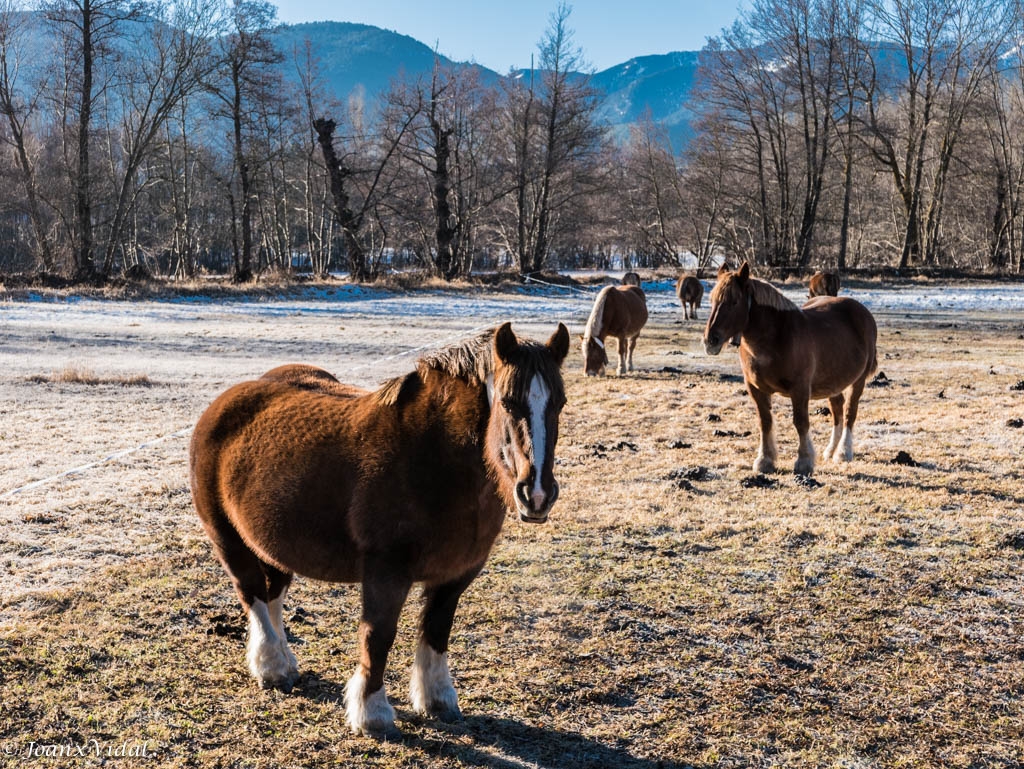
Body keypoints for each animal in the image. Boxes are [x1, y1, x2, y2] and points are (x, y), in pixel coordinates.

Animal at [189, 323, 573, 741]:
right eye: (507, 401)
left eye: (560, 403)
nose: (536, 495)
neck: (436, 459)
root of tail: (224, 403)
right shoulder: (386, 571)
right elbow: (379, 636)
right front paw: (372, 713)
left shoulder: (458, 572)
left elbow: (437, 629)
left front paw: (438, 700)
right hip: (228, 540)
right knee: (253, 594)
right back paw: (271, 666)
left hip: (272, 543)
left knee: (273, 594)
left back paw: (285, 663)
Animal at [704, 268, 880, 479]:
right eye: (712, 300)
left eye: (734, 301)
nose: (710, 340)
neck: (775, 337)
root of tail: (864, 313)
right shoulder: (755, 388)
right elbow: (765, 422)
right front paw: (765, 461)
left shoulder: (800, 389)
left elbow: (801, 423)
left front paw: (804, 462)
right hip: (833, 382)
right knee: (837, 411)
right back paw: (830, 450)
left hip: (858, 381)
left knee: (849, 413)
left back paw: (843, 452)